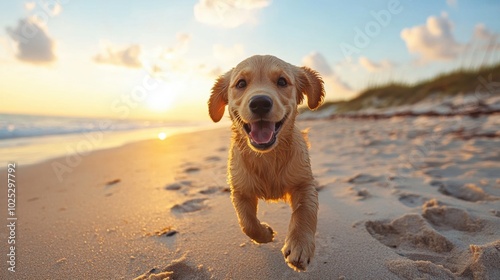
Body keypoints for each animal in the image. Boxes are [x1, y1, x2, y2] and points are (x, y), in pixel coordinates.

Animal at [207, 54, 324, 272]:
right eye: (241, 83)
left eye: (282, 81)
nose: (260, 103)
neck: (268, 156)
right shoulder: (240, 190)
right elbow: (247, 223)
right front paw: (265, 234)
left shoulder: (304, 184)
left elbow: (304, 212)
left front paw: (300, 246)